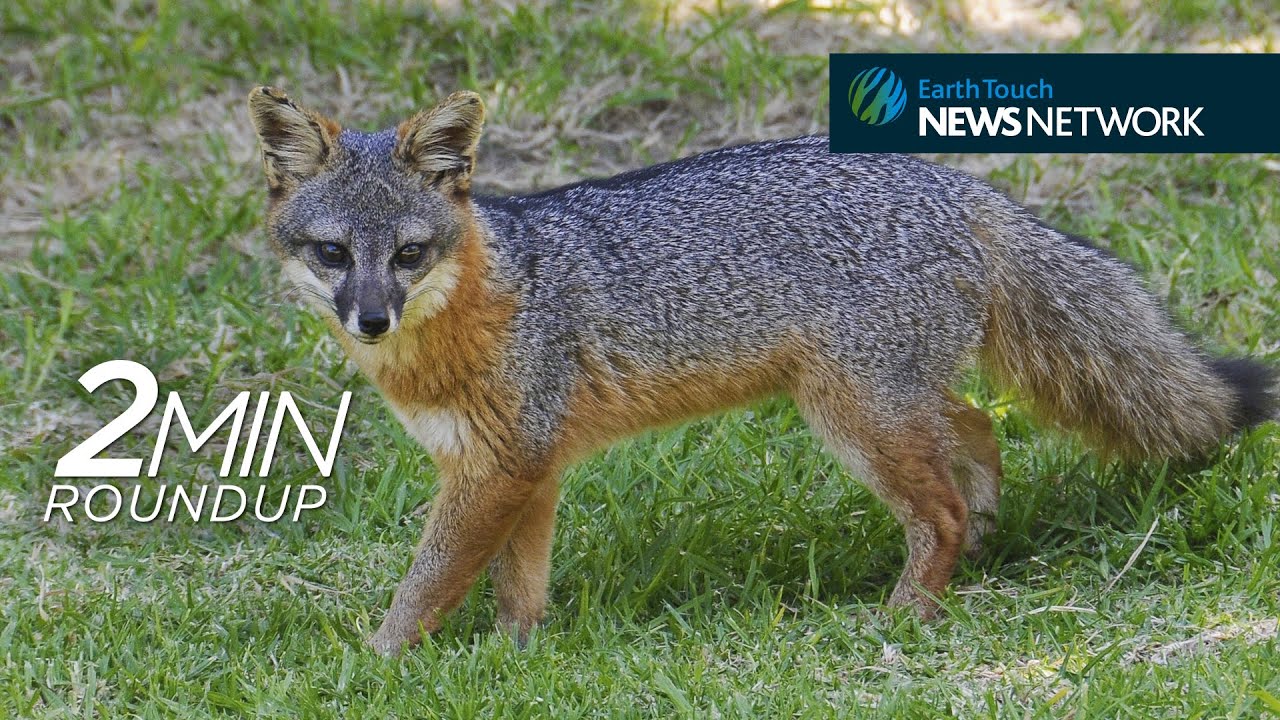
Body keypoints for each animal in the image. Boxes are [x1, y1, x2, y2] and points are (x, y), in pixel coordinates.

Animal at [246, 86, 1277, 655]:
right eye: (334, 255)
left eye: (408, 254)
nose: (371, 317)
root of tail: (954, 182)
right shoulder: (521, 467)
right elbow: (517, 587)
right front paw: (513, 659)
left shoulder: (500, 467)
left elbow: (428, 583)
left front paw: (377, 661)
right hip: (881, 397)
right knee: (976, 427)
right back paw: (981, 547)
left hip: (854, 415)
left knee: (938, 505)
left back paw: (908, 613)